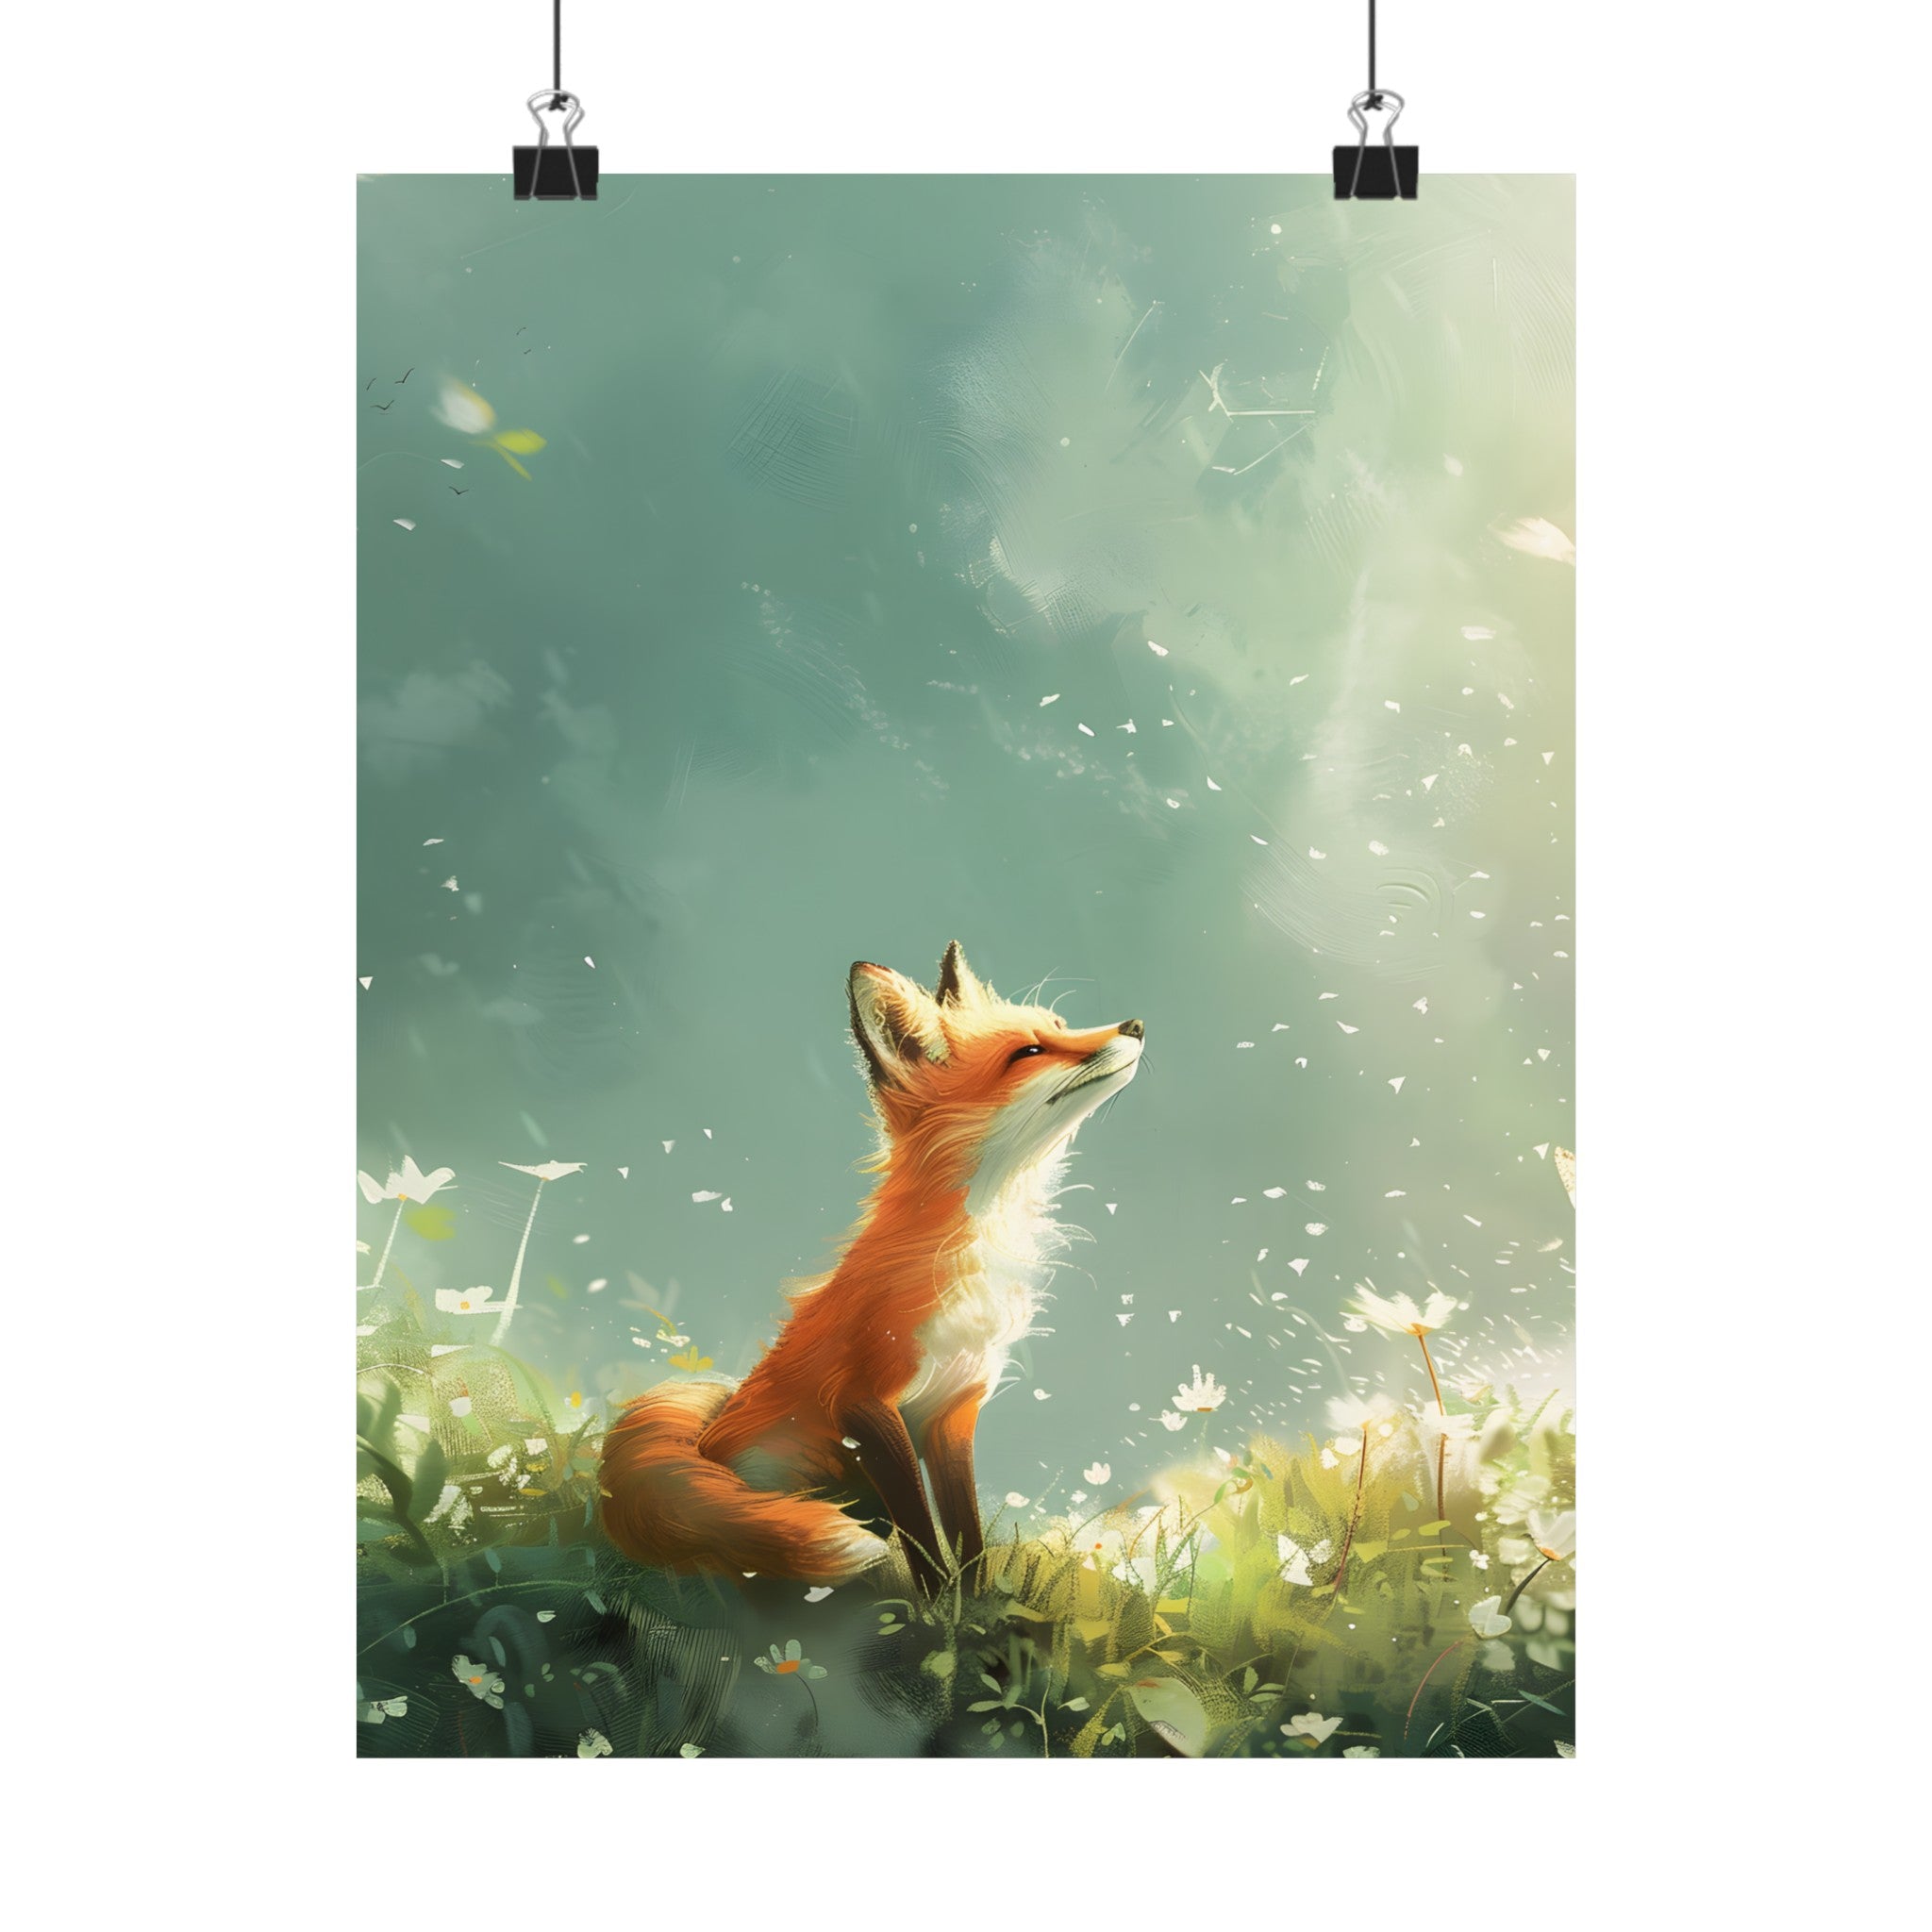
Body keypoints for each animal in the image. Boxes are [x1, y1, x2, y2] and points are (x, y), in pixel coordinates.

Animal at [600, 942, 1144, 1595]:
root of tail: (703, 1438)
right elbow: (921, 1534)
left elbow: (966, 1534)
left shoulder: (955, 1406)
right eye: (1029, 1052)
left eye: (1061, 1025)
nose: (1136, 1025)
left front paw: (975, 1603)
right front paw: (937, 1606)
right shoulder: (863, 1402)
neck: (970, 1251)